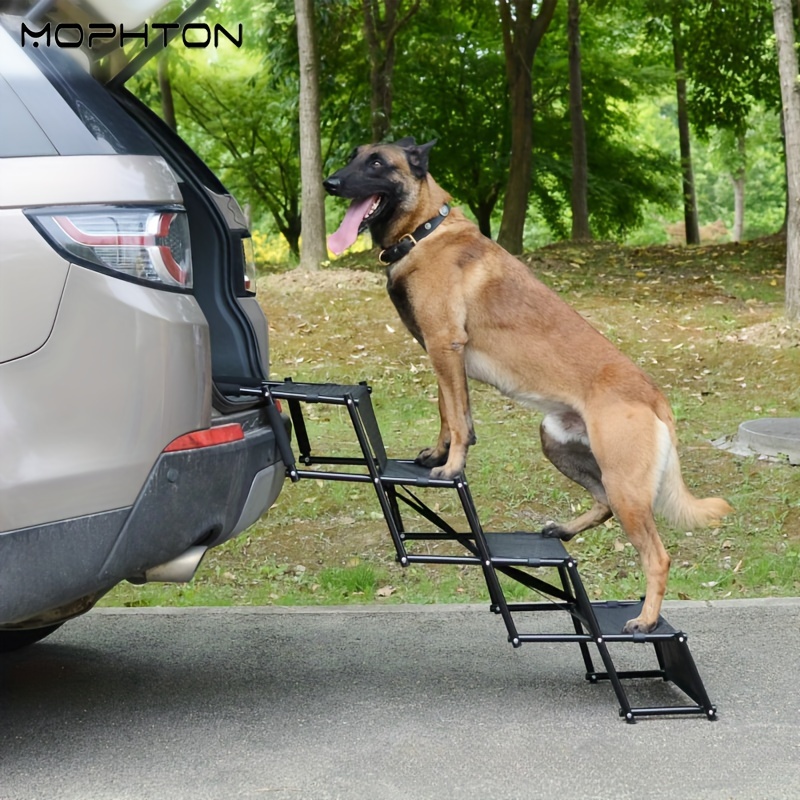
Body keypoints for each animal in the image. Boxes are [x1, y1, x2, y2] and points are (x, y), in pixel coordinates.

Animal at [324, 141, 732, 636]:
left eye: (377, 163)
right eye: (353, 156)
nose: (330, 183)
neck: (424, 231)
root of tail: (656, 398)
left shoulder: (444, 344)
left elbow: (456, 419)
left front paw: (451, 466)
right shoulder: (442, 355)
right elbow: (448, 412)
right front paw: (437, 455)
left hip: (625, 484)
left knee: (657, 555)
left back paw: (647, 619)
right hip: (558, 444)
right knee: (603, 504)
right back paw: (565, 531)